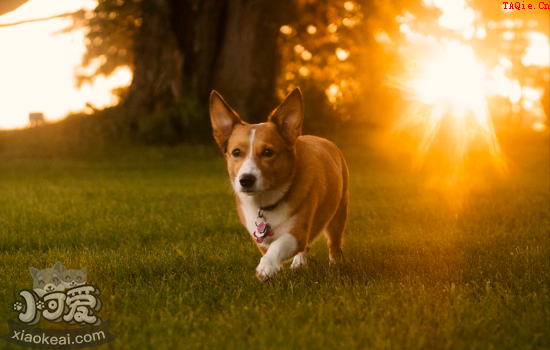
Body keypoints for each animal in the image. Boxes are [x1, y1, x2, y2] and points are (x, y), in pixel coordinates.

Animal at [211, 88, 350, 282]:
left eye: (268, 152)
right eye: (236, 152)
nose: (246, 180)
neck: (266, 203)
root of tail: (321, 139)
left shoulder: (297, 233)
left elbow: (278, 246)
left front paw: (266, 267)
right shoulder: (260, 238)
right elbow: (270, 248)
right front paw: (276, 270)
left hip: (338, 215)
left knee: (334, 243)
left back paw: (335, 265)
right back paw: (298, 264)